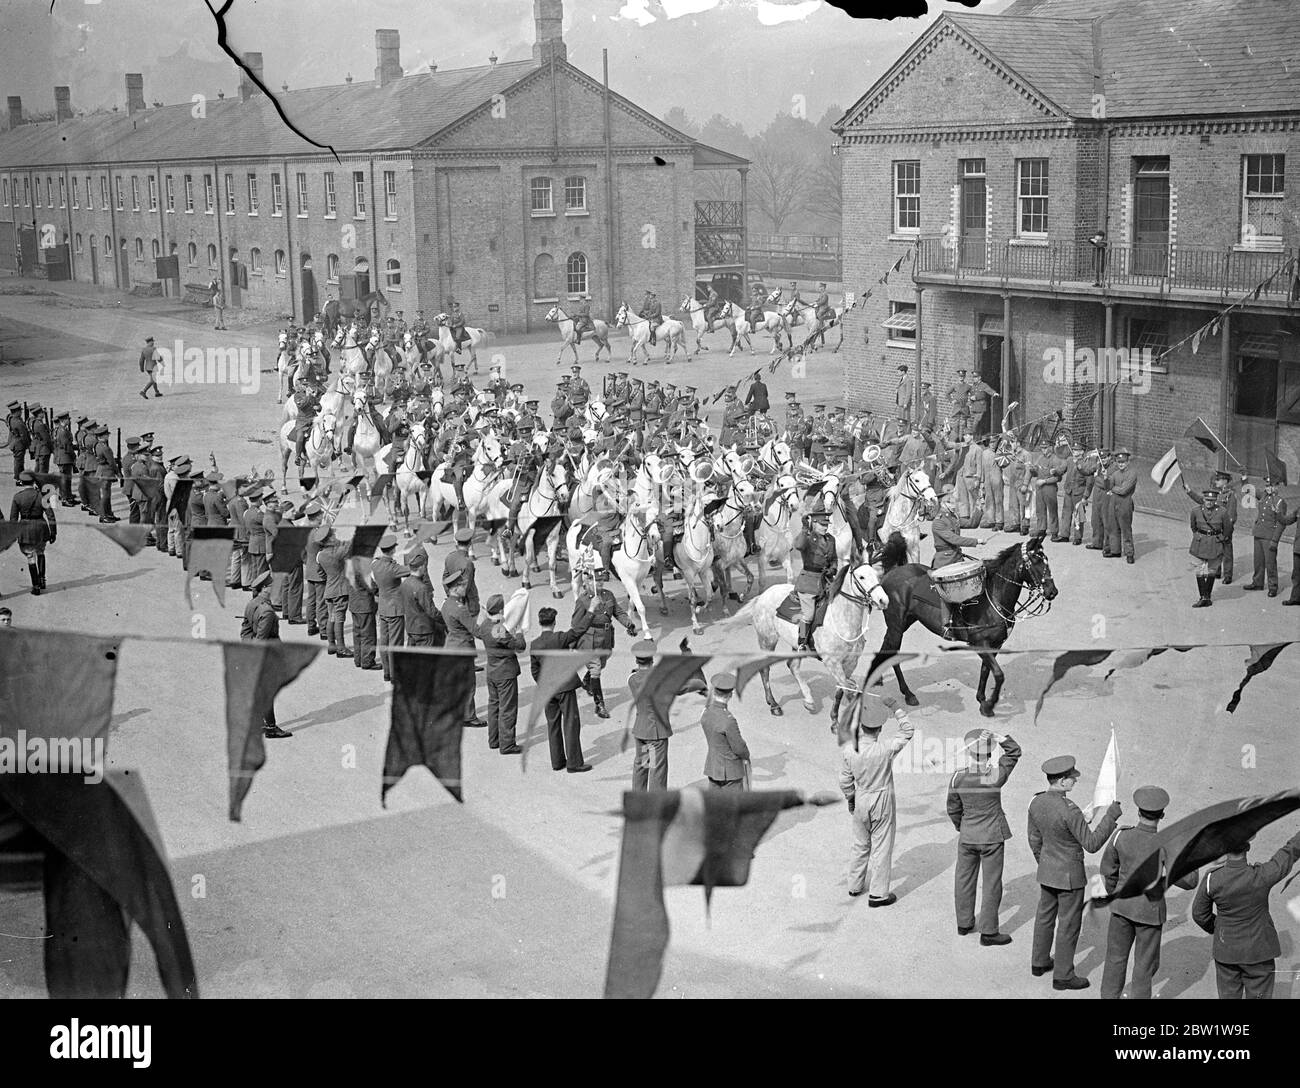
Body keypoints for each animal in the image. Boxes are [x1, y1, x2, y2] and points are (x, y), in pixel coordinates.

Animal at [748, 556, 889, 727]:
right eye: (861, 577)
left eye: (877, 574)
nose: (883, 600)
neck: (842, 621)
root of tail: (763, 595)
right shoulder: (832, 662)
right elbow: (847, 692)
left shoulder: (850, 662)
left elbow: (840, 691)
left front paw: (834, 720)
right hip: (767, 640)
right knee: (765, 669)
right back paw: (774, 705)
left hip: (795, 645)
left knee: (793, 666)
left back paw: (808, 700)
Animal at [863, 525, 1055, 712]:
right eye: (1035, 560)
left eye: (1046, 559)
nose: (1052, 591)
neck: (993, 599)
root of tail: (894, 571)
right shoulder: (979, 644)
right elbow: (999, 674)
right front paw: (989, 704)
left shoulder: (995, 645)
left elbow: (986, 671)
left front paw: (982, 700)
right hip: (896, 625)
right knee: (892, 653)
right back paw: (908, 693)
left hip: (903, 623)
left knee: (886, 648)